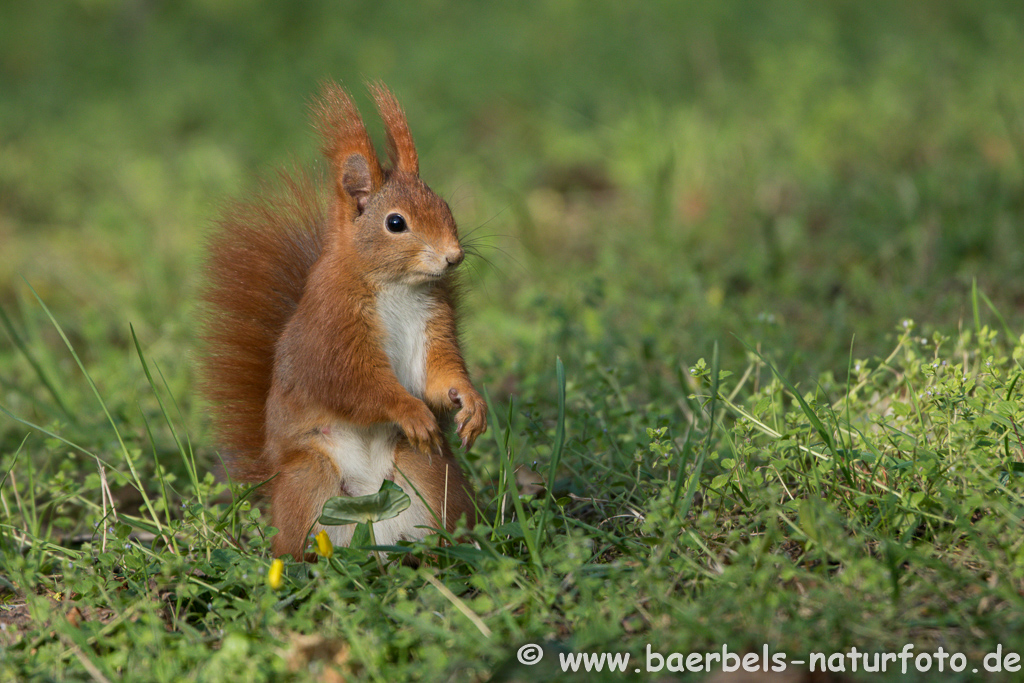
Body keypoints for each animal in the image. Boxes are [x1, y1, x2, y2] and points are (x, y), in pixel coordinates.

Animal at [201, 81, 489, 561]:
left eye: (444, 203)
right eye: (396, 222)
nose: (454, 256)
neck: (396, 287)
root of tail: (370, 515)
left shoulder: (432, 324)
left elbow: (439, 373)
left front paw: (471, 402)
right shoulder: (332, 330)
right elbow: (356, 385)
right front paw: (410, 411)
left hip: (426, 472)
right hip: (309, 479)